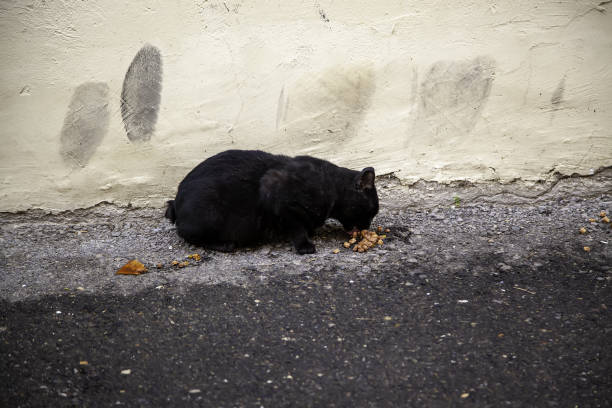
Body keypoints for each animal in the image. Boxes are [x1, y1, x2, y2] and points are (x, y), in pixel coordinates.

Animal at [166, 148, 378, 253]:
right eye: (371, 212)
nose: (366, 227)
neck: (332, 187)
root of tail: (175, 203)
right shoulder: (281, 203)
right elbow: (297, 228)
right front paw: (304, 246)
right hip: (209, 216)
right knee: (190, 236)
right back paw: (223, 245)